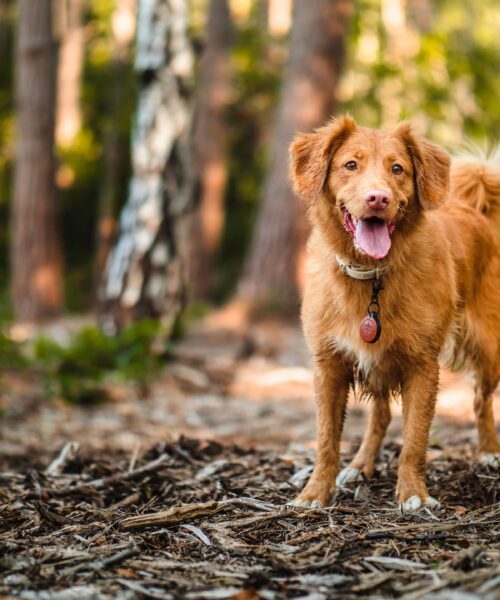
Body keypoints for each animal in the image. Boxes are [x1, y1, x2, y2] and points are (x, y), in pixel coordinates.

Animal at [288, 115, 498, 508]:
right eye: (350, 165)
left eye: (397, 169)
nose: (378, 198)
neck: (371, 276)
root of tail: (473, 210)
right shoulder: (329, 365)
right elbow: (326, 440)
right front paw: (315, 493)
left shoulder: (422, 366)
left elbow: (415, 439)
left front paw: (413, 494)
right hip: (379, 361)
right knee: (381, 415)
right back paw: (359, 465)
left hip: (489, 348)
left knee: (482, 399)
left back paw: (490, 450)